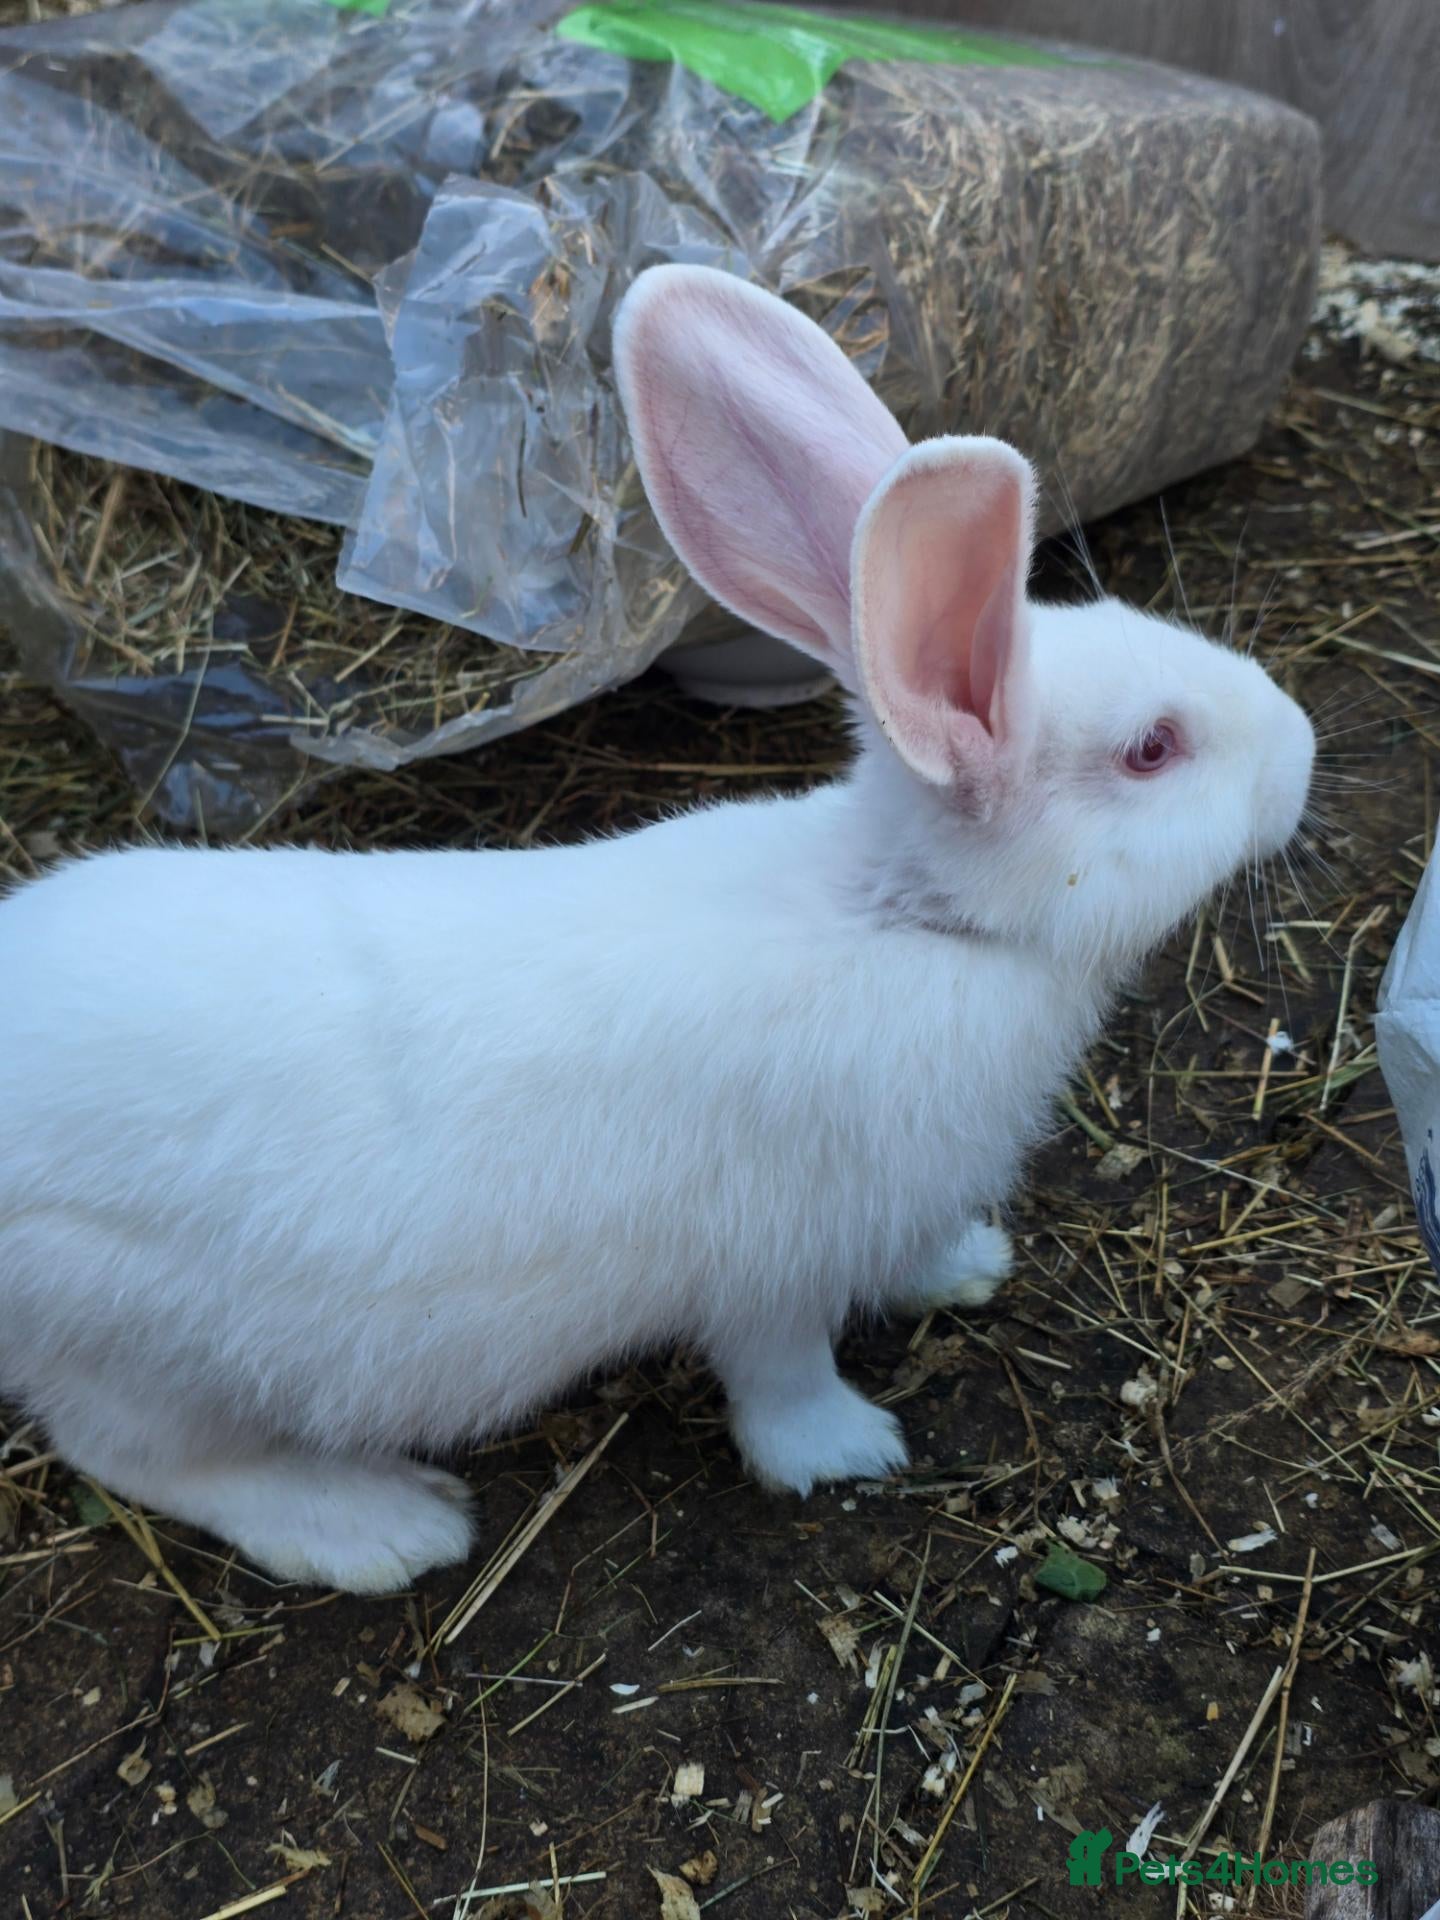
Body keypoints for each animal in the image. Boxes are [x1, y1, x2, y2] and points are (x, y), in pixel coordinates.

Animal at [0, 265, 1314, 1594]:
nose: (1303, 746)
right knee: (143, 1456)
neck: (911, 919)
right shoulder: (770, 1268)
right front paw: (846, 1452)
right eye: (1153, 750)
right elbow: (781, 1380)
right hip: (139, 1343)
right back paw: (383, 1526)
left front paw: (965, 1269)